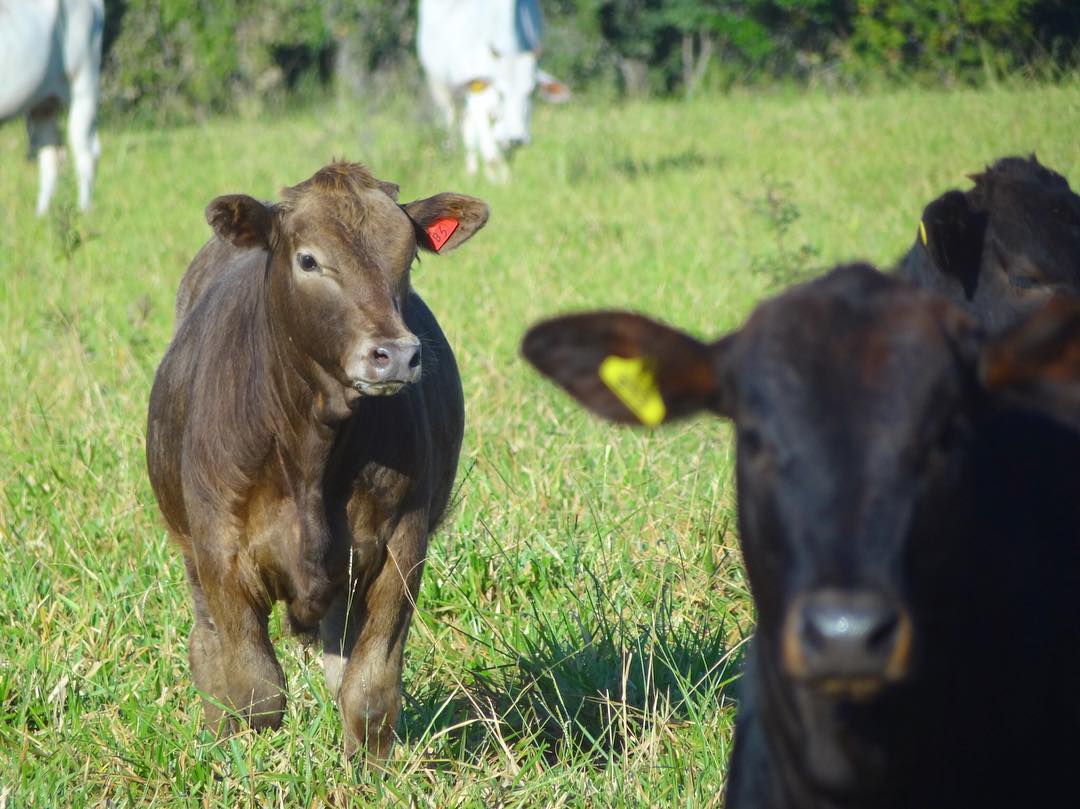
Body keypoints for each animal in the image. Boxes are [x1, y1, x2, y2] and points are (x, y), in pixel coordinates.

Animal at [0, 0, 104, 214]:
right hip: (44, 103)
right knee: (51, 155)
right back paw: (42, 214)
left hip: (84, 85)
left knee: (86, 151)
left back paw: (84, 210)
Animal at [144, 162, 490, 756]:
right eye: (308, 259)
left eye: (408, 257)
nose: (396, 354)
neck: (311, 447)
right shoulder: (220, 550)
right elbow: (254, 692)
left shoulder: (402, 545)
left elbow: (368, 690)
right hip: (189, 548)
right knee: (206, 646)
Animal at [412, 0, 565, 182]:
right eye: (501, 91)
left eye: (532, 91)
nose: (517, 138)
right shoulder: (478, 102)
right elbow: (491, 154)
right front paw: (498, 182)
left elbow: (503, 151)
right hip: (440, 86)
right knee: (454, 124)